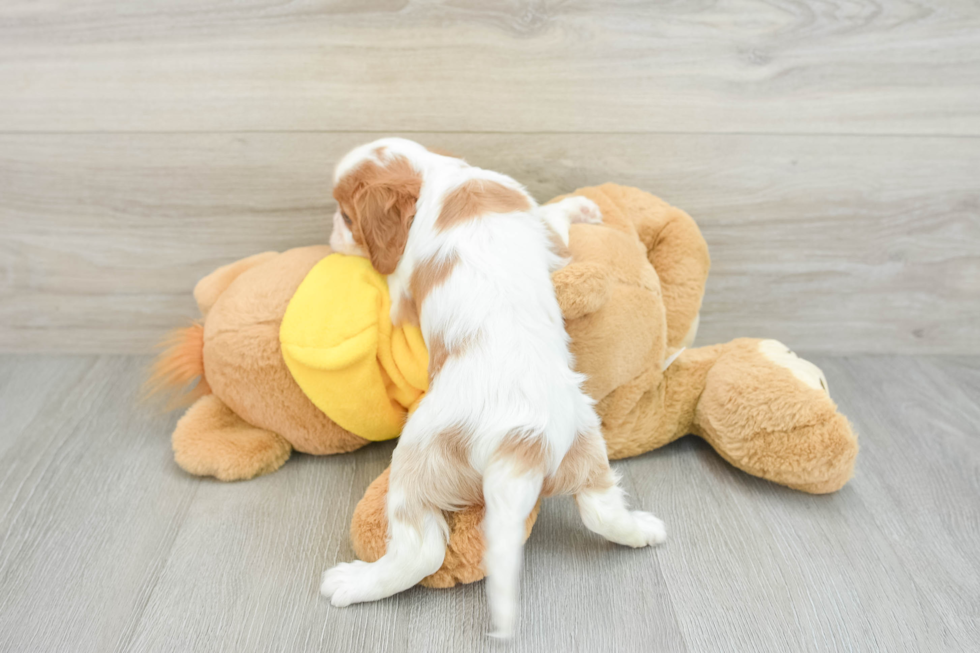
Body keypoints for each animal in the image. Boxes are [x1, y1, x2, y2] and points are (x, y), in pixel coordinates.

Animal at [322, 139, 668, 636]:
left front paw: (581, 205)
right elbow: (554, 220)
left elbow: (554, 215)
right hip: (583, 441)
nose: (332, 232)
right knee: (600, 508)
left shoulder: (406, 289)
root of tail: (521, 439)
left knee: (421, 550)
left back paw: (354, 583)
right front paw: (584, 207)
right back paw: (643, 531)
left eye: (347, 218)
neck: (435, 175)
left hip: (417, 457)